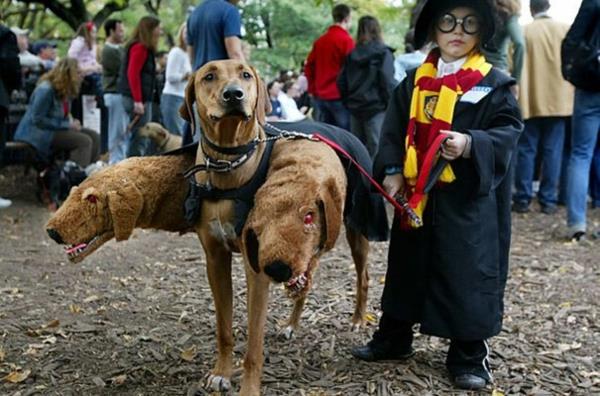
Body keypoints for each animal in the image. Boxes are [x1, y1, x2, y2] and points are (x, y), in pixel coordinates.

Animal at [178, 59, 370, 396]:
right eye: (209, 76)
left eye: (245, 74)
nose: (234, 94)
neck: (228, 164)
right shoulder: (215, 259)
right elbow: (223, 327)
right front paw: (221, 372)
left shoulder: (257, 265)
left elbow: (254, 344)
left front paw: (248, 388)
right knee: (306, 279)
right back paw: (292, 324)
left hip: (354, 229)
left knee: (363, 274)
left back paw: (359, 318)